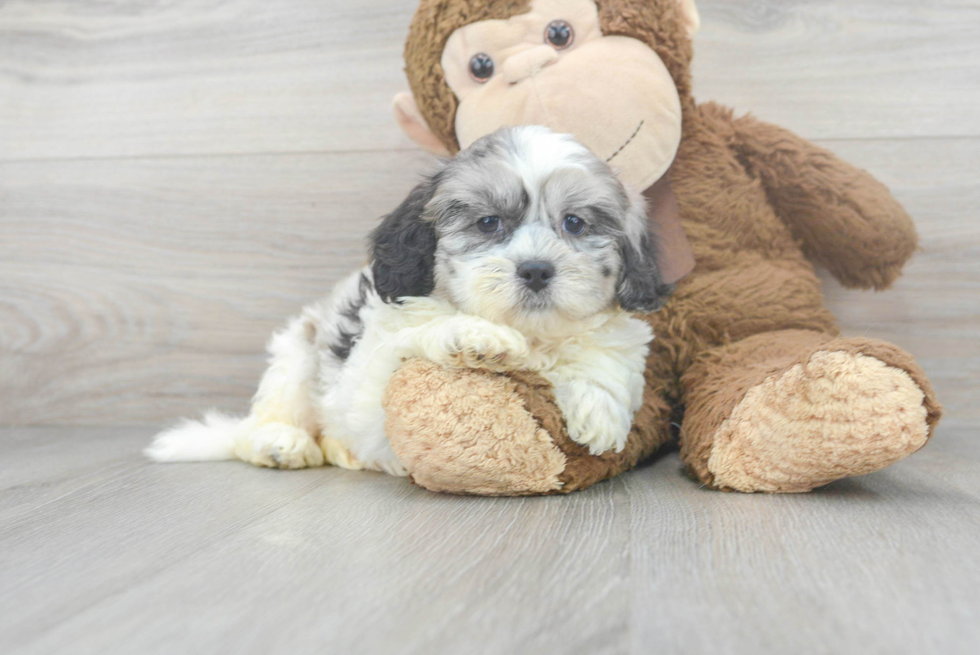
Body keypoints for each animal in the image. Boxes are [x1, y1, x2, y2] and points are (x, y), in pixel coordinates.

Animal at [147, 127, 672, 476]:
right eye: (488, 223)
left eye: (575, 223)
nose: (537, 269)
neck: (532, 336)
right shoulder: (370, 371)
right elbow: (420, 333)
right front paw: (474, 334)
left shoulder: (619, 341)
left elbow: (605, 360)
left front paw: (599, 409)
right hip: (297, 354)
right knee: (267, 418)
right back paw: (282, 441)